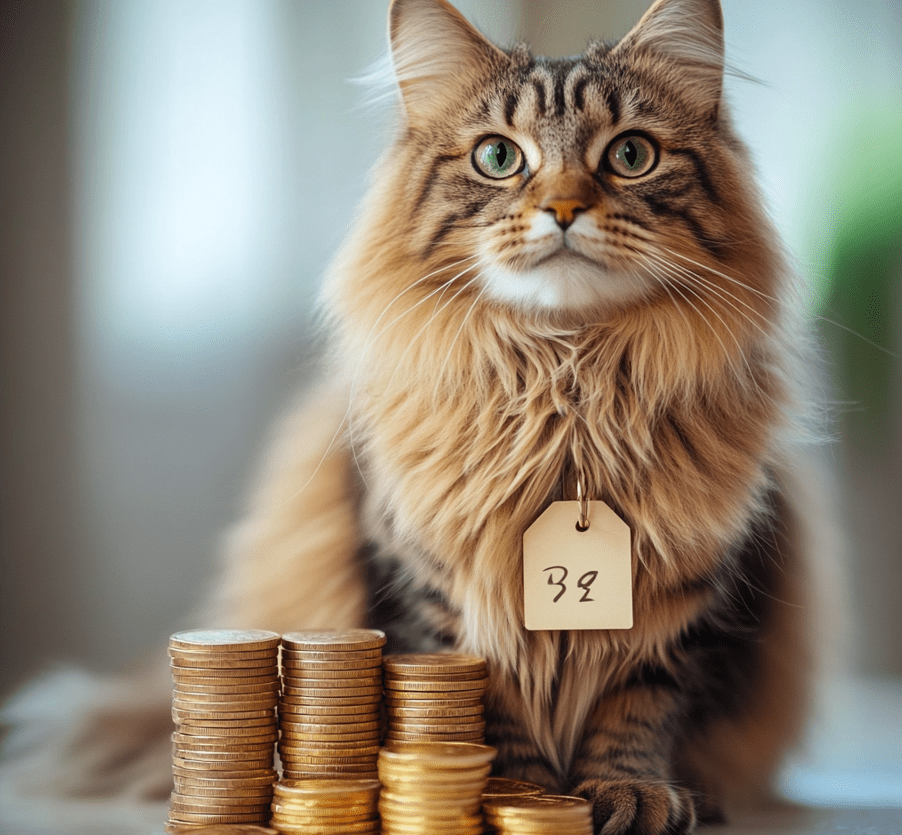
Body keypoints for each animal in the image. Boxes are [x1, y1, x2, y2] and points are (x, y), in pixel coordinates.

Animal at [3, 0, 828, 832]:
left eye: (631, 155)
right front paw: (516, 795)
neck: (567, 390)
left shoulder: (692, 594)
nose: (564, 208)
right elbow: (480, 705)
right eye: (498, 157)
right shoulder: (426, 586)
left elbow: (640, 706)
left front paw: (628, 789)